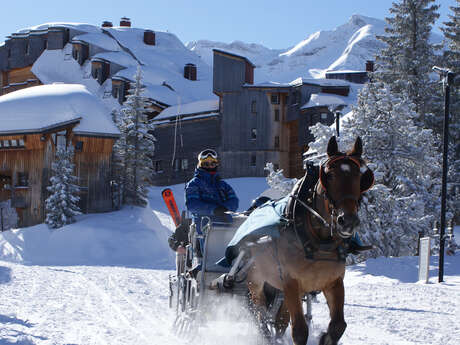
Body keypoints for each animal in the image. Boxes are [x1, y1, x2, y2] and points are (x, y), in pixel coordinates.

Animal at [248, 136, 374, 344]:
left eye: (360, 176)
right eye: (329, 175)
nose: (348, 220)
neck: (318, 241)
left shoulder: (333, 282)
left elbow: (338, 325)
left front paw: (325, 338)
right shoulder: (290, 282)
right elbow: (299, 330)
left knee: (280, 321)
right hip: (256, 282)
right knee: (261, 316)